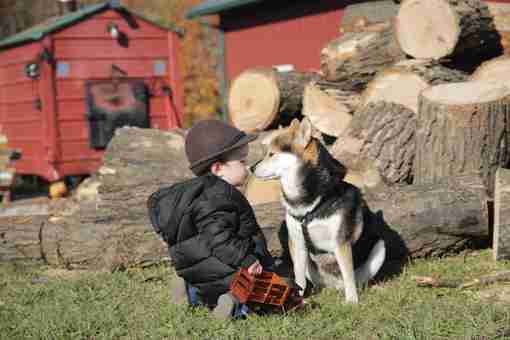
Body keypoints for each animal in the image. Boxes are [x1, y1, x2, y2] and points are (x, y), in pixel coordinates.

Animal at [253, 118, 384, 304]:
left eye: (271, 154)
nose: (251, 168)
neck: (308, 206)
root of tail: (333, 286)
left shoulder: (341, 242)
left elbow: (348, 275)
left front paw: (352, 301)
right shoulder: (297, 243)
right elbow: (299, 278)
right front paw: (299, 299)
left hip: (380, 246)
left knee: (353, 278)